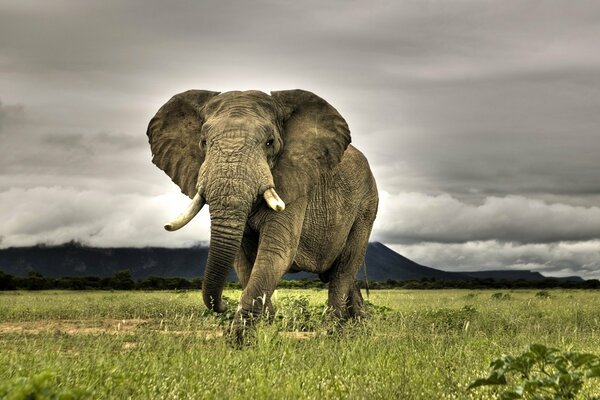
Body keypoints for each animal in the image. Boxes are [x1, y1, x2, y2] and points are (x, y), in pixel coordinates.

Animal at [146, 88, 378, 340]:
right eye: (203, 142)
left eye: (270, 142)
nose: (222, 305)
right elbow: (243, 259)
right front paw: (266, 327)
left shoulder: (295, 182)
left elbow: (276, 250)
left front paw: (240, 339)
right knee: (340, 272)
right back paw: (359, 326)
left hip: (367, 206)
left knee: (344, 269)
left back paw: (334, 332)